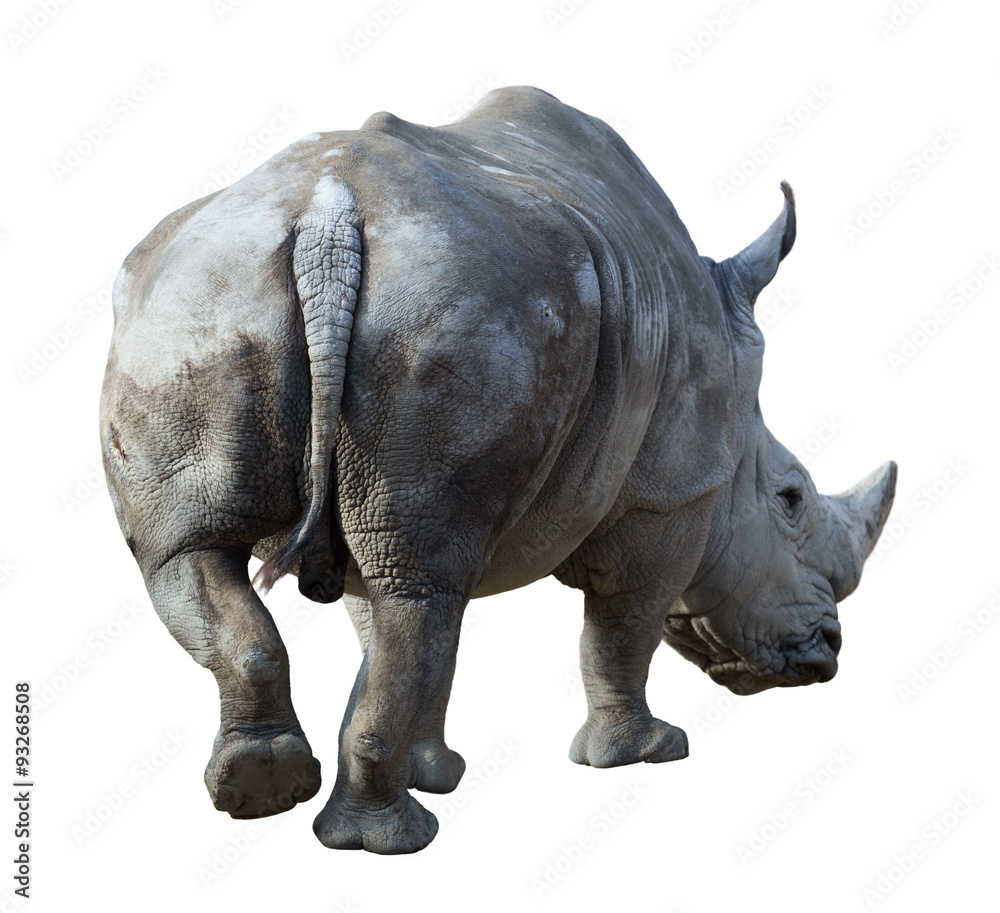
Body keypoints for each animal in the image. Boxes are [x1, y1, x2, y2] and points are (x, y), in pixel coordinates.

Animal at [100, 86, 896, 854]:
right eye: (791, 498)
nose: (827, 652)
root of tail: (330, 216)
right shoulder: (666, 491)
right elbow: (621, 627)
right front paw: (644, 753)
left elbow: (394, 625)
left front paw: (436, 770)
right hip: (449, 309)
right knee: (414, 588)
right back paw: (391, 839)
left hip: (204, 305)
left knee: (243, 562)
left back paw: (267, 792)